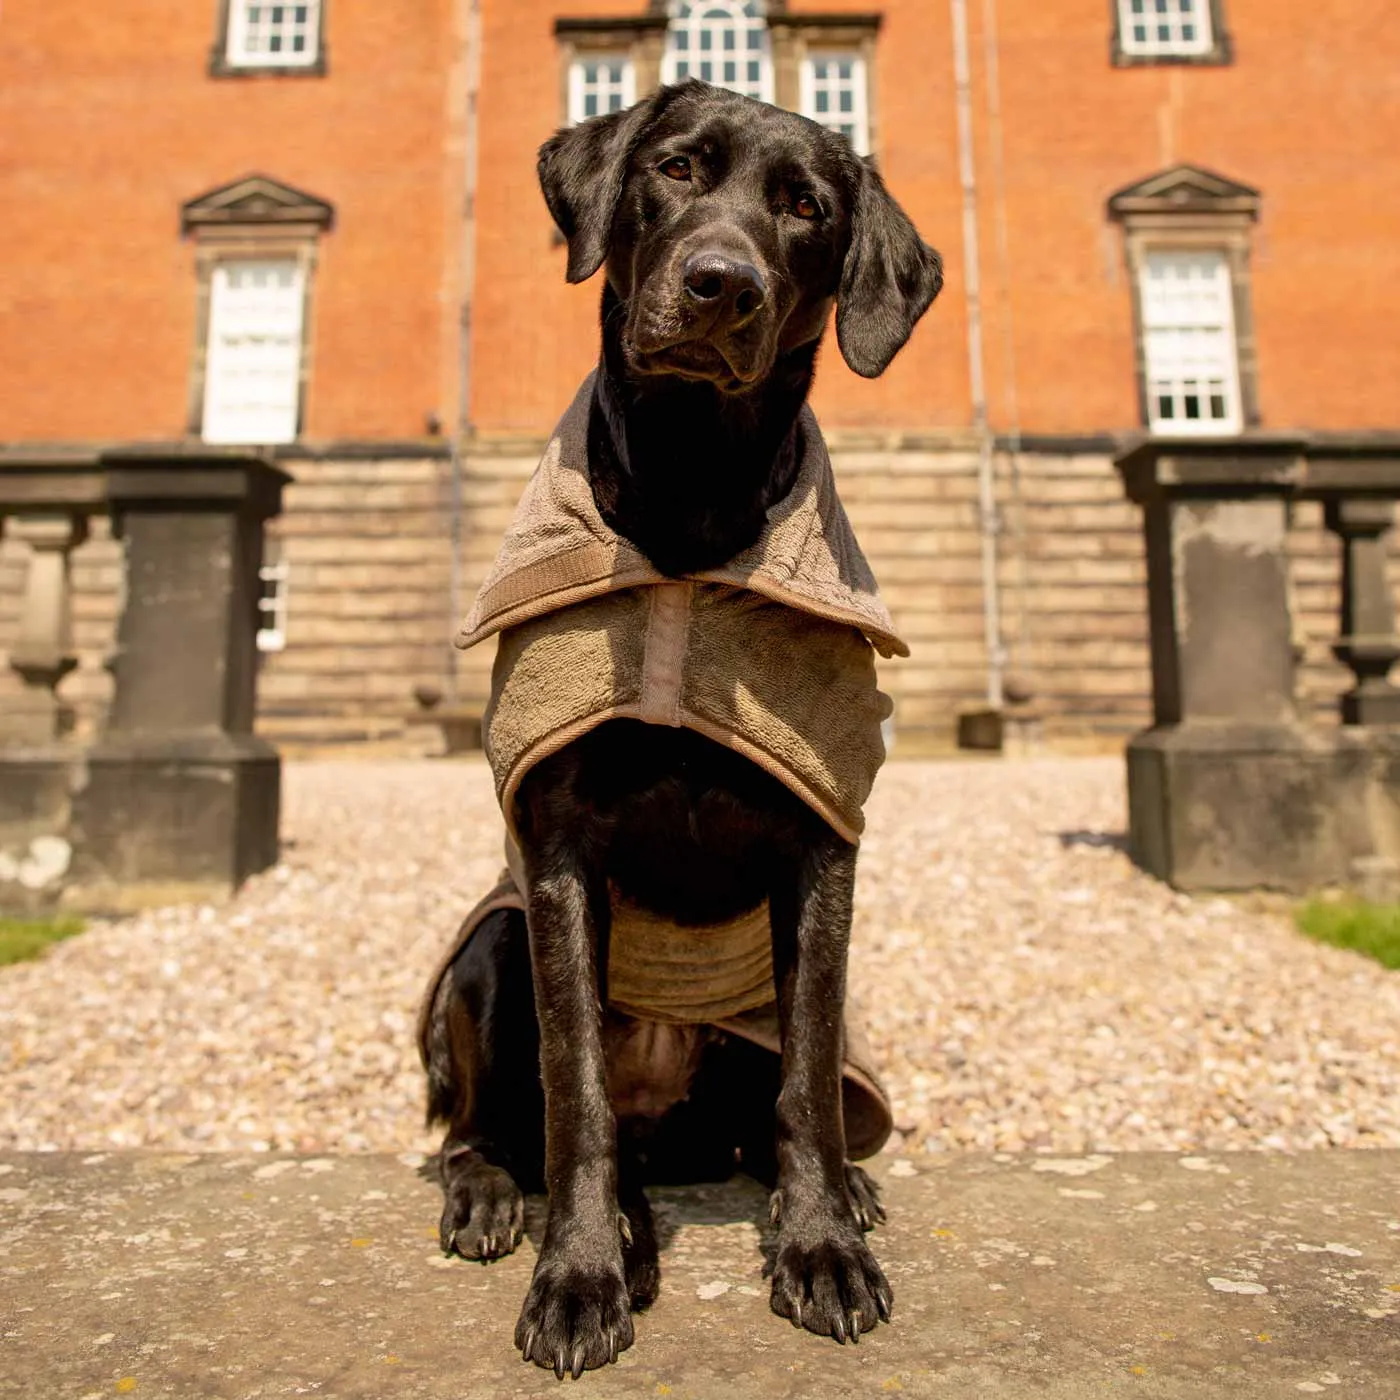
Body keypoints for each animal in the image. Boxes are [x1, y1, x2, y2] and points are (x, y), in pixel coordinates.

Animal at [420, 79, 946, 1377]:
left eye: (805, 208)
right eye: (672, 169)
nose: (721, 283)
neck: (690, 511)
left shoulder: (821, 843)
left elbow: (806, 1085)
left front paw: (820, 1247)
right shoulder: (555, 852)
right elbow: (576, 1095)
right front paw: (579, 1275)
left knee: (764, 1115)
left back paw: (834, 1194)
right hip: (488, 945)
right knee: (494, 1123)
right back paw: (504, 1196)